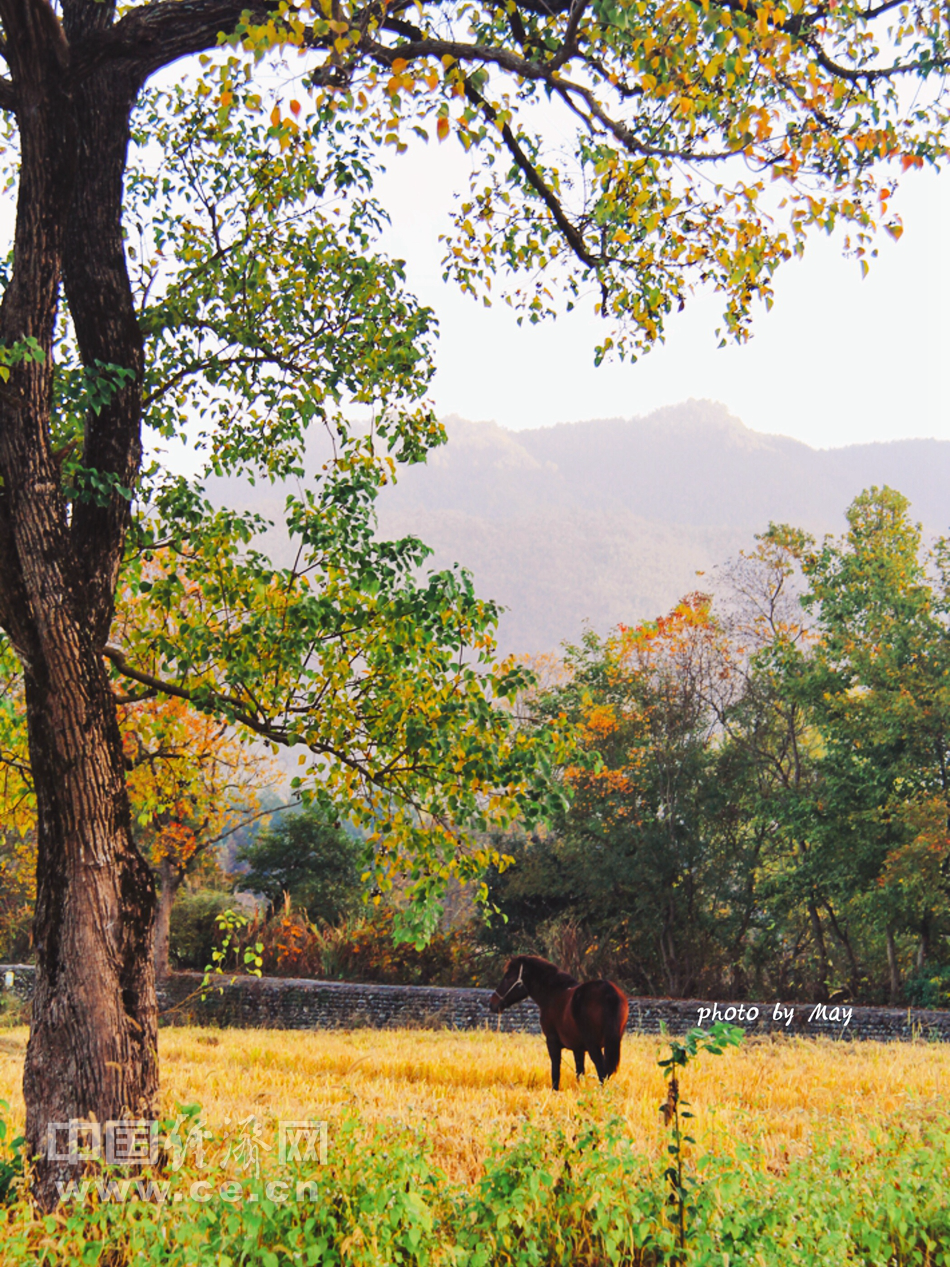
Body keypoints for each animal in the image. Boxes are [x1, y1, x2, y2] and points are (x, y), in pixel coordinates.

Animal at [491, 952, 633, 1094]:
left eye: (508, 977)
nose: (492, 1003)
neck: (554, 994)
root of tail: (609, 992)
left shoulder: (552, 1042)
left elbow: (556, 1071)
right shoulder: (578, 1048)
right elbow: (579, 1072)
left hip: (594, 1046)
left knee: (602, 1070)